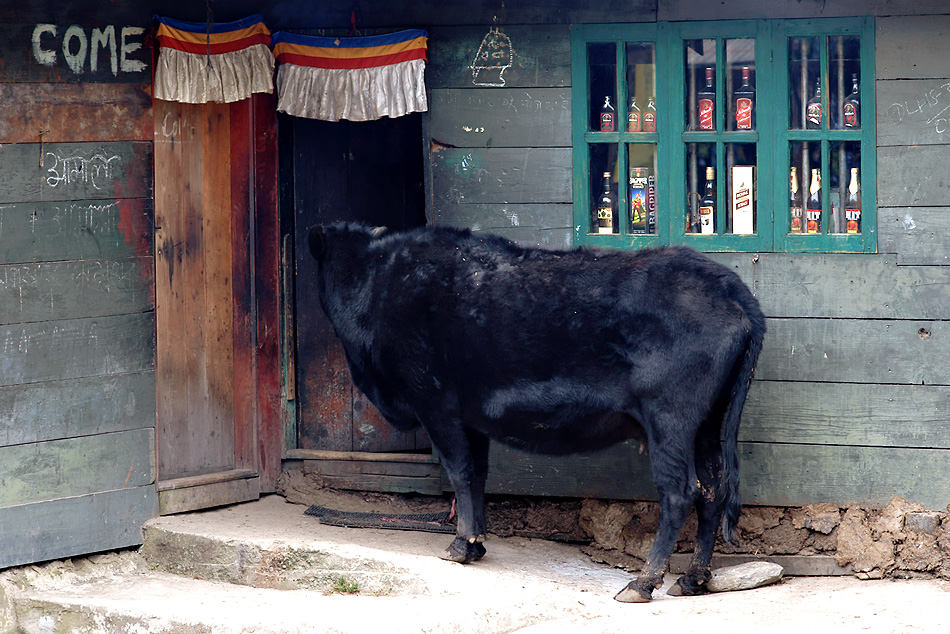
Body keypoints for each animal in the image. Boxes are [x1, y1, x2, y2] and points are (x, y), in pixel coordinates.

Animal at [308, 223, 768, 604]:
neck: (379, 280)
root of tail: (728, 286)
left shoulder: (435, 402)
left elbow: (459, 470)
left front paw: (460, 546)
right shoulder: (471, 415)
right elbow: (477, 472)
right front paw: (477, 542)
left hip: (669, 419)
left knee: (679, 492)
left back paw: (643, 582)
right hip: (707, 425)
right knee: (712, 490)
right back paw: (692, 579)